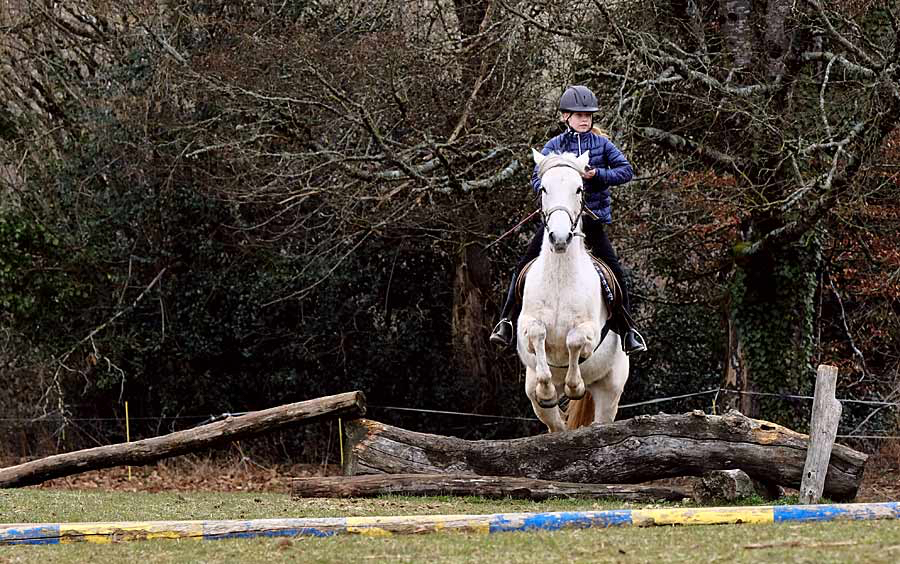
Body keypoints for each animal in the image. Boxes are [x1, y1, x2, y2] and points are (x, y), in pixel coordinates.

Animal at [516, 149, 628, 432]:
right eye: (543, 188)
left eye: (579, 189)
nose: (559, 238)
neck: (560, 278)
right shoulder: (526, 326)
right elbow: (537, 333)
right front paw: (547, 389)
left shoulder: (590, 330)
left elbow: (575, 340)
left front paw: (575, 386)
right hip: (534, 397)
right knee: (557, 426)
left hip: (609, 391)